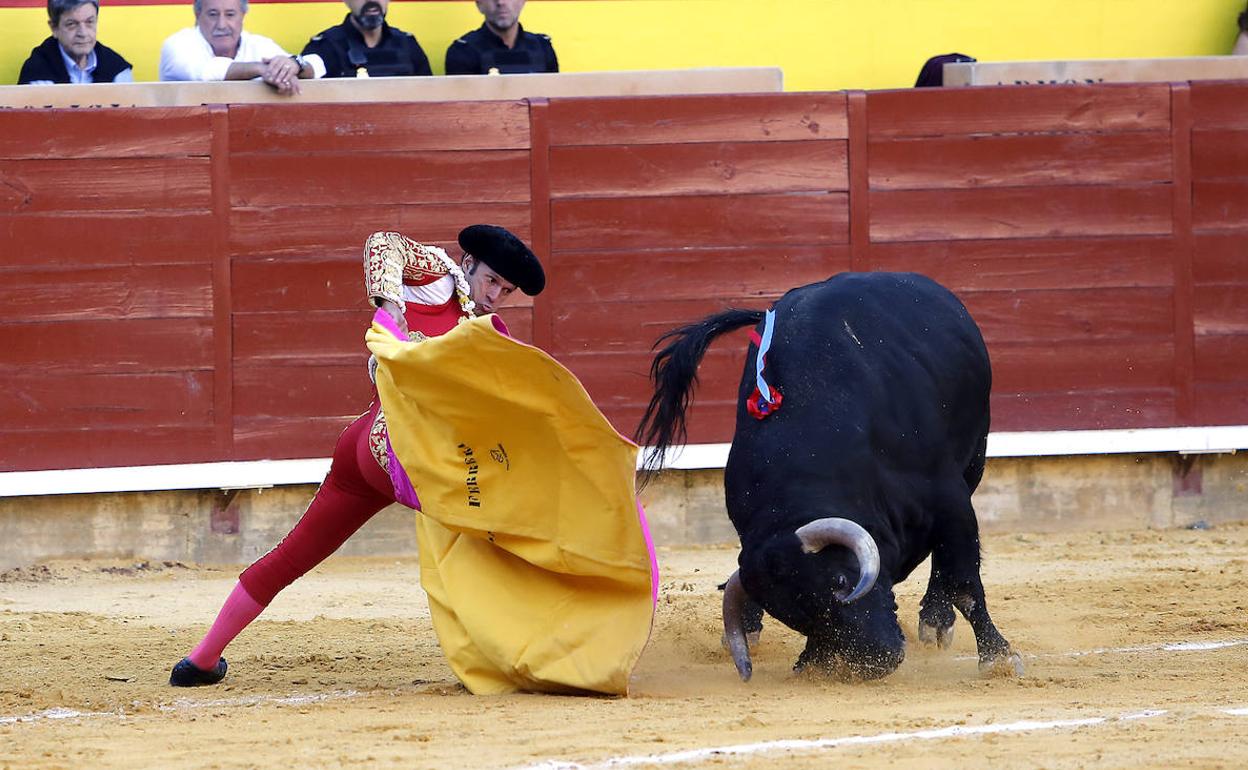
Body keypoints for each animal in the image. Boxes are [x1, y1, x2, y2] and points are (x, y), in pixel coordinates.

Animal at [633, 270, 1023, 678]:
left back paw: (935, 619)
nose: (874, 661)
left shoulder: (949, 499)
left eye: (840, 581)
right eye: (795, 618)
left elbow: (963, 581)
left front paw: (997, 656)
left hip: (974, 459)